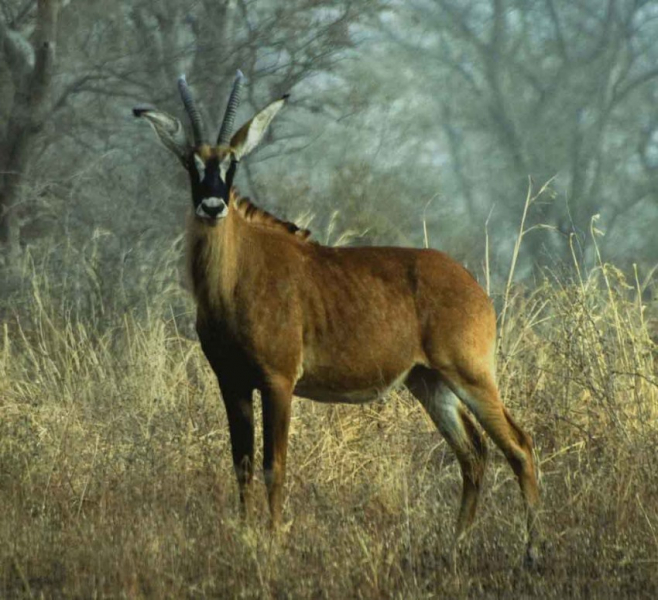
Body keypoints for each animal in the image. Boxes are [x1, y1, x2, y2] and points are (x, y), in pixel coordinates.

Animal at [132, 74, 540, 564]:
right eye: (192, 163)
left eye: (231, 163)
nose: (213, 206)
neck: (235, 274)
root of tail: (474, 287)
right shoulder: (232, 383)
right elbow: (241, 465)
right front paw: (245, 538)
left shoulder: (278, 381)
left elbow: (273, 465)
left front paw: (273, 543)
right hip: (429, 382)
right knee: (474, 453)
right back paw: (454, 546)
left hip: (471, 375)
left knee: (518, 445)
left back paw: (532, 552)